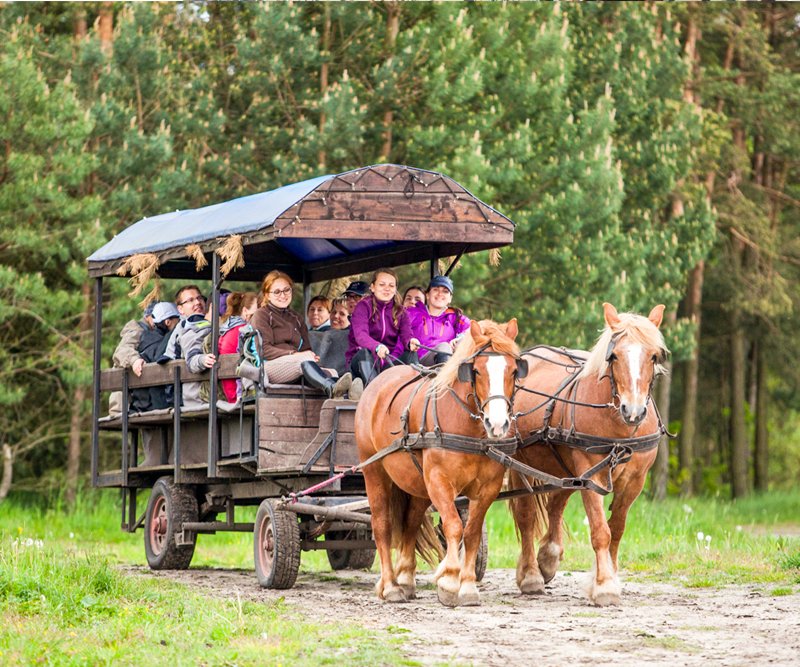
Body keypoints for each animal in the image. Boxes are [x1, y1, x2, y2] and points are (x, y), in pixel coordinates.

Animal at [356, 320, 524, 608]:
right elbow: (454, 525)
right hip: (374, 471)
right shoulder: (439, 481)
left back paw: (405, 579)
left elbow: (471, 532)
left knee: (410, 523)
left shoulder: (487, 488)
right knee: (382, 525)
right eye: (476, 371)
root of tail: (377, 383)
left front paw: (467, 587)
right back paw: (390, 586)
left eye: (513, 370)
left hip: (417, 484)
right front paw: (448, 581)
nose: (497, 425)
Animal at [510, 306, 664, 608]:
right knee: (526, 514)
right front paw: (604, 586)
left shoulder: (635, 481)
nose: (634, 411)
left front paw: (609, 575)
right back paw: (531, 574)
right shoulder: (592, 475)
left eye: (653, 356)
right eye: (614, 356)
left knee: (555, 505)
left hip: (565, 469)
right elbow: (601, 531)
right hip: (518, 461)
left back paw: (548, 557)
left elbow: (617, 529)